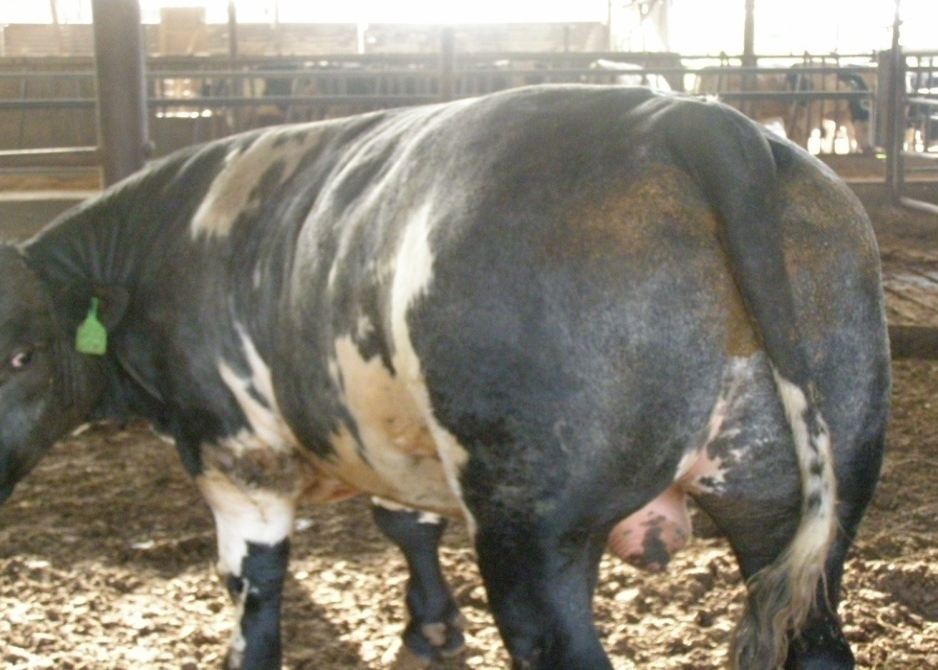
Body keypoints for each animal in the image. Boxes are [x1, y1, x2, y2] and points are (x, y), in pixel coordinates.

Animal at [0, 85, 889, 669]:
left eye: (21, 355)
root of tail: (695, 118)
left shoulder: (236, 454)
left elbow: (256, 590)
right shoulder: (386, 429)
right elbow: (407, 526)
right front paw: (429, 627)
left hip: (531, 523)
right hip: (807, 491)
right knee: (817, 642)